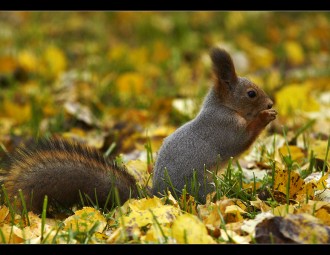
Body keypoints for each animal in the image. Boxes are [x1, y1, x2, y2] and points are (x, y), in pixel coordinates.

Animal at [0, 47, 278, 213]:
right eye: (251, 94)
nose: (270, 103)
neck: (223, 107)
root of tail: (158, 194)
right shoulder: (224, 127)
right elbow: (241, 141)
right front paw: (265, 117)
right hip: (203, 184)